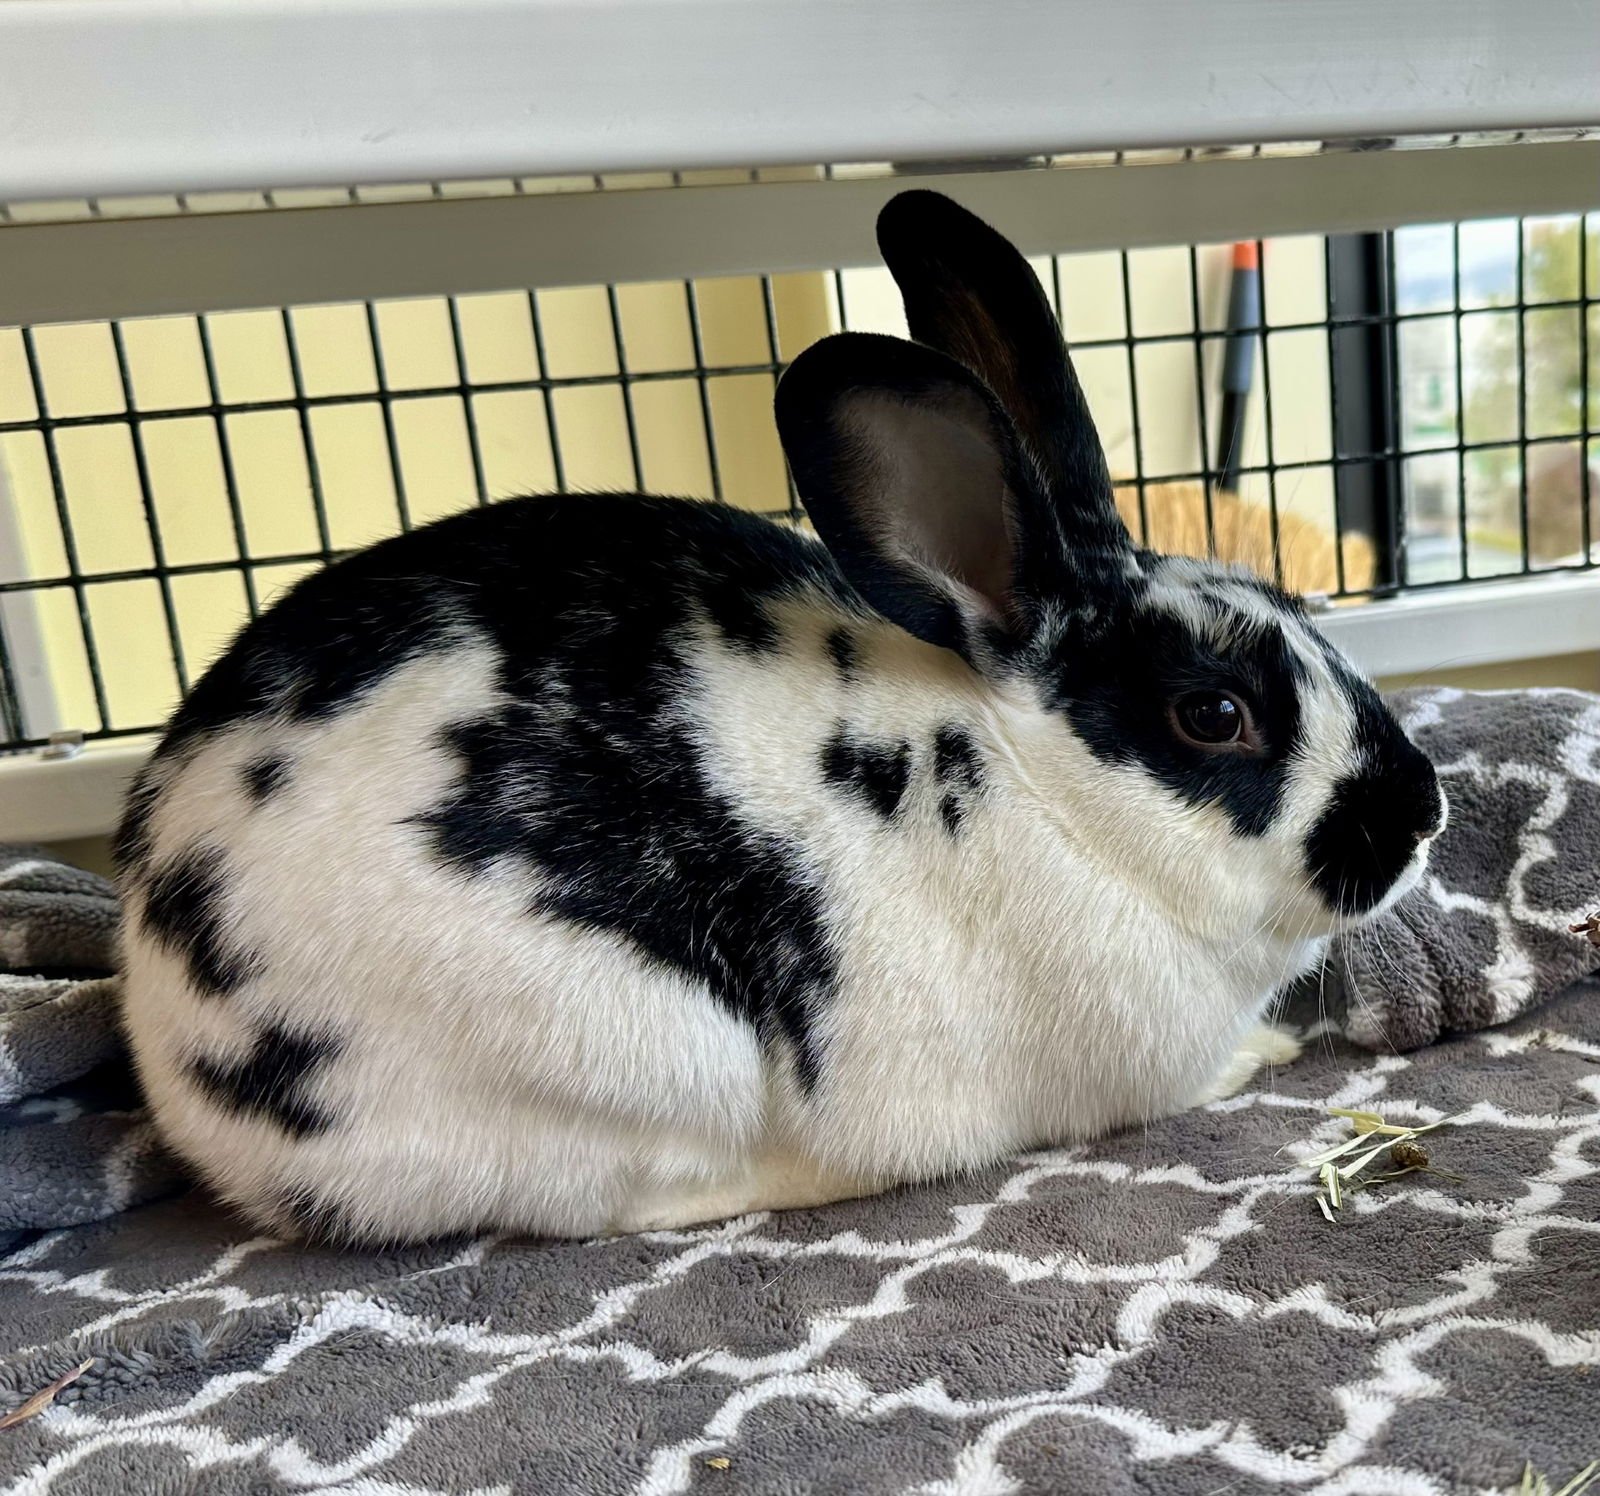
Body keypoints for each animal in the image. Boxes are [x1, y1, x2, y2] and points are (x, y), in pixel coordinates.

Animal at [115, 189, 1445, 1245]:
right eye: (1212, 713)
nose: (1423, 807)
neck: (1037, 781)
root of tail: (157, 1012)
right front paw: (1273, 1050)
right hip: (616, 1063)